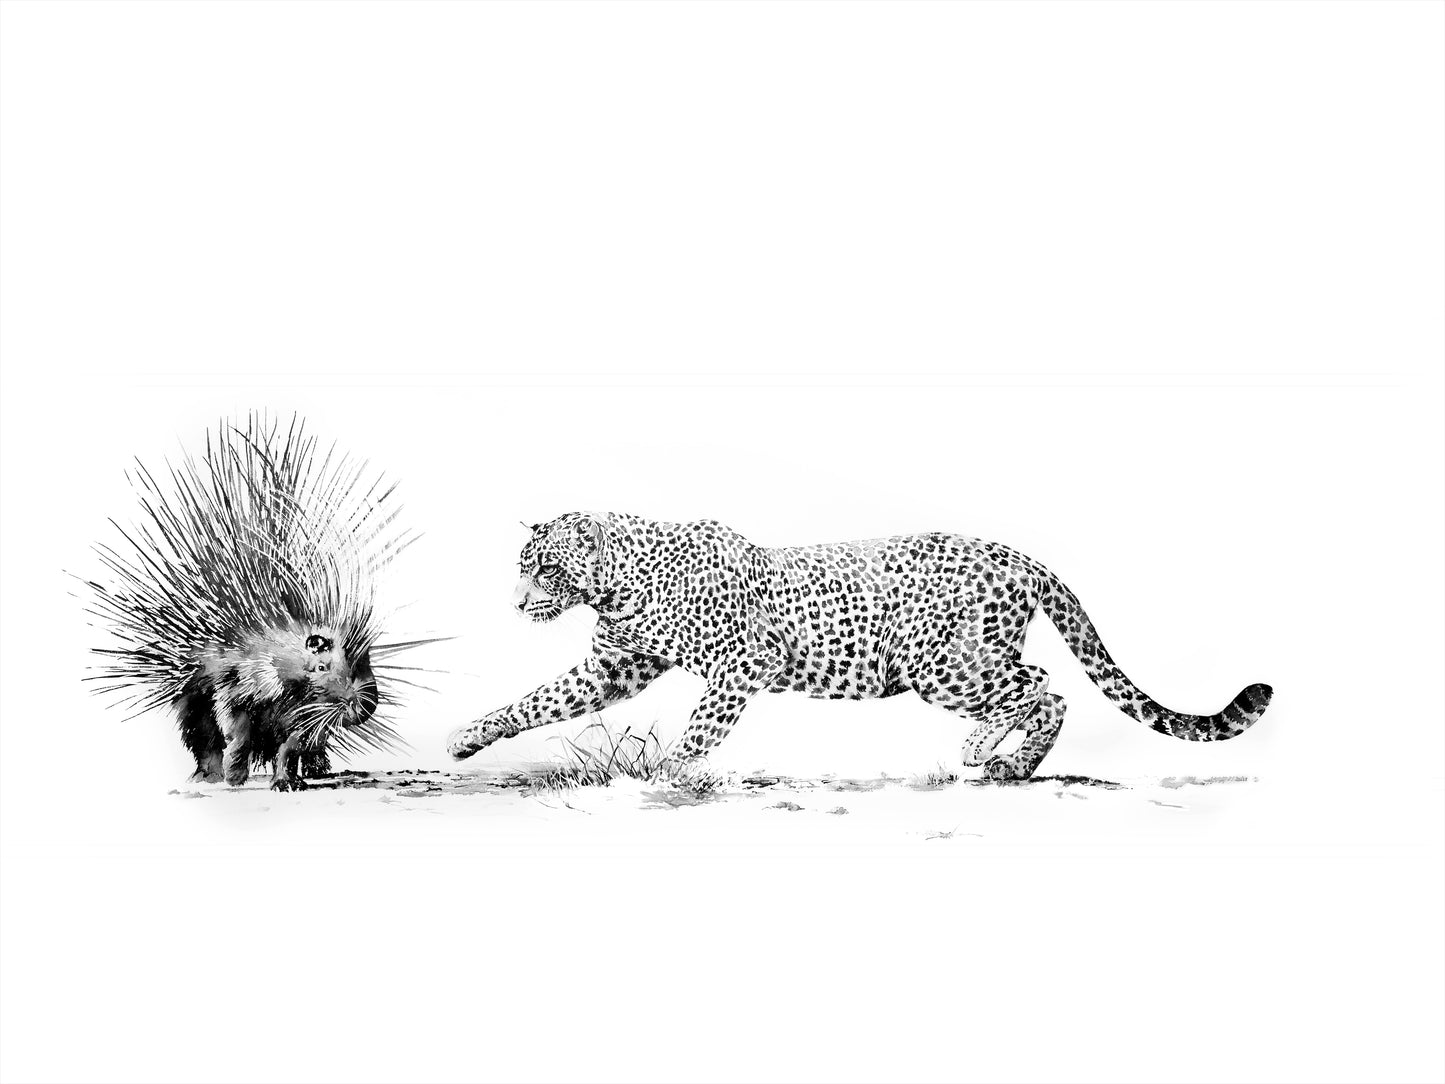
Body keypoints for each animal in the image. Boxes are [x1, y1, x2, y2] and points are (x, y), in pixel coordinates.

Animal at [446, 513, 1271, 785]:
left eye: (542, 569)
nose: (516, 604)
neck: (622, 581)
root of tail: (1017, 555)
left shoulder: (741, 666)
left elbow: (699, 730)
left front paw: (666, 772)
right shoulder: (616, 664)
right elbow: (538, 700)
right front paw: (468, 737)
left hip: (942, 666)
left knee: (1044, 684)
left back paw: (989, 752)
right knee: (1041, 682)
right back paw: (1008, 761)